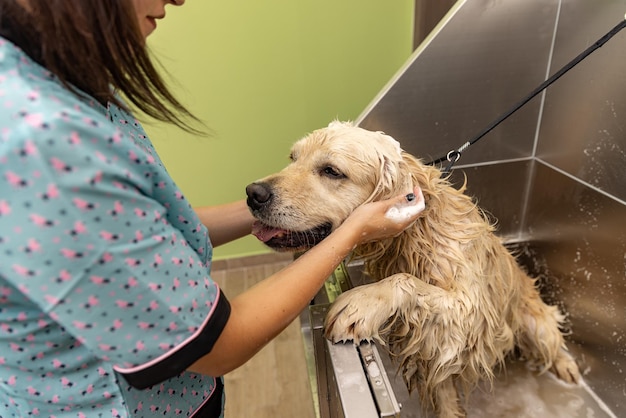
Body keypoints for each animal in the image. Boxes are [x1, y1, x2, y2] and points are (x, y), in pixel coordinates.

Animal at [245, 121, 580, 418]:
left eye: (331, 171)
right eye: (293, 157)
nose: (253, 193)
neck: (415, 233)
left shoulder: (471, 312)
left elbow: (405, 280)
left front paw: (359, 304)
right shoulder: (433, 348)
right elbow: (443, 393)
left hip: (535, 322)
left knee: (551, 340)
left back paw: (567, 367)